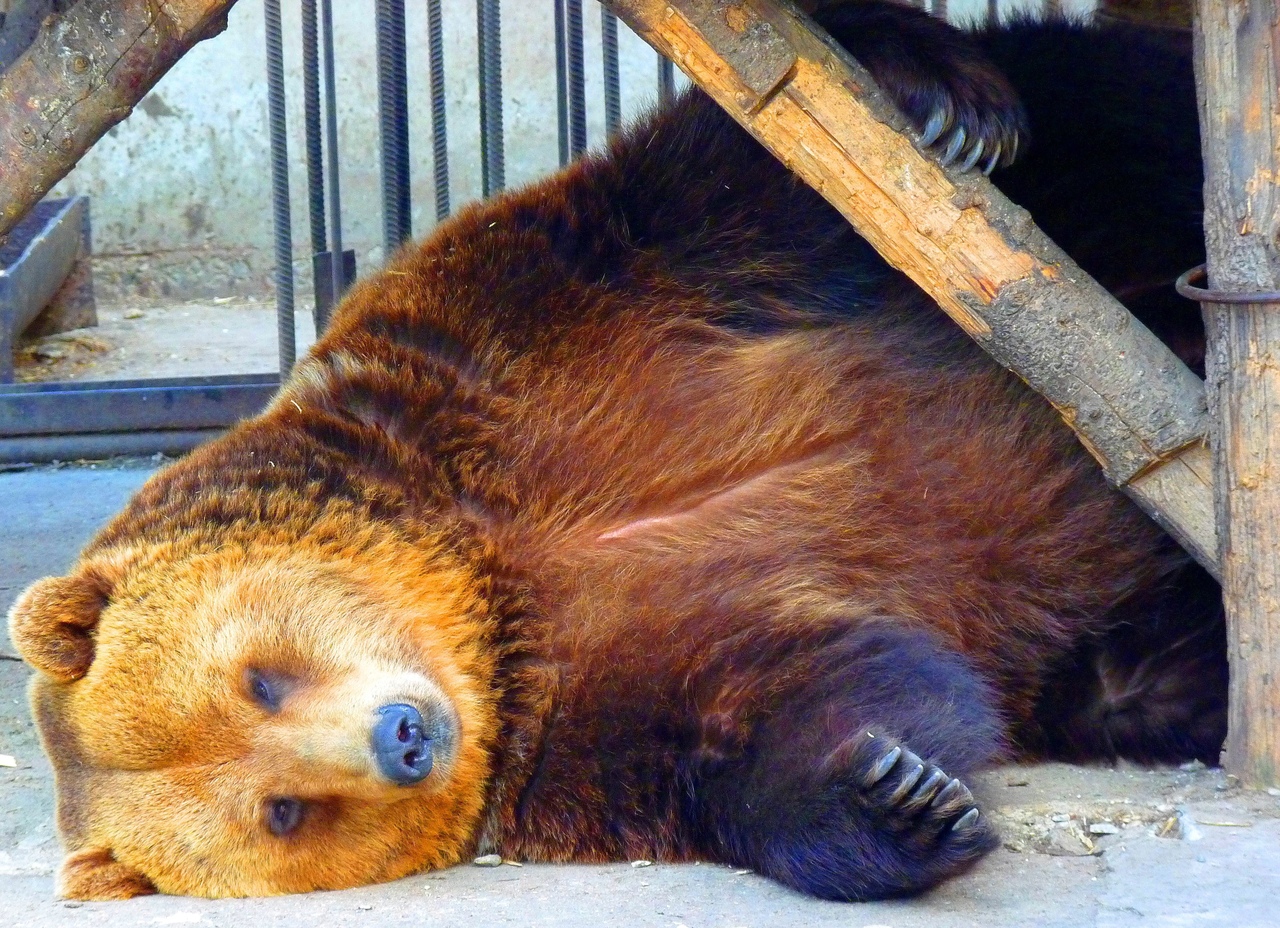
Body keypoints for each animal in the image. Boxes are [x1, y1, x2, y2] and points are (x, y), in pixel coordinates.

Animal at [12, 0, 1228, 896]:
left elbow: (731, 188)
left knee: (1122, 117)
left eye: (259, 678)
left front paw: (944, 104)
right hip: (1109, 644)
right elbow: (770, 710)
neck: (481, 582)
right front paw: (898, 791)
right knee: (1155, 675)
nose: (406, 735)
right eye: (281, 810)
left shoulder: (524, 341)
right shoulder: (581, 706)